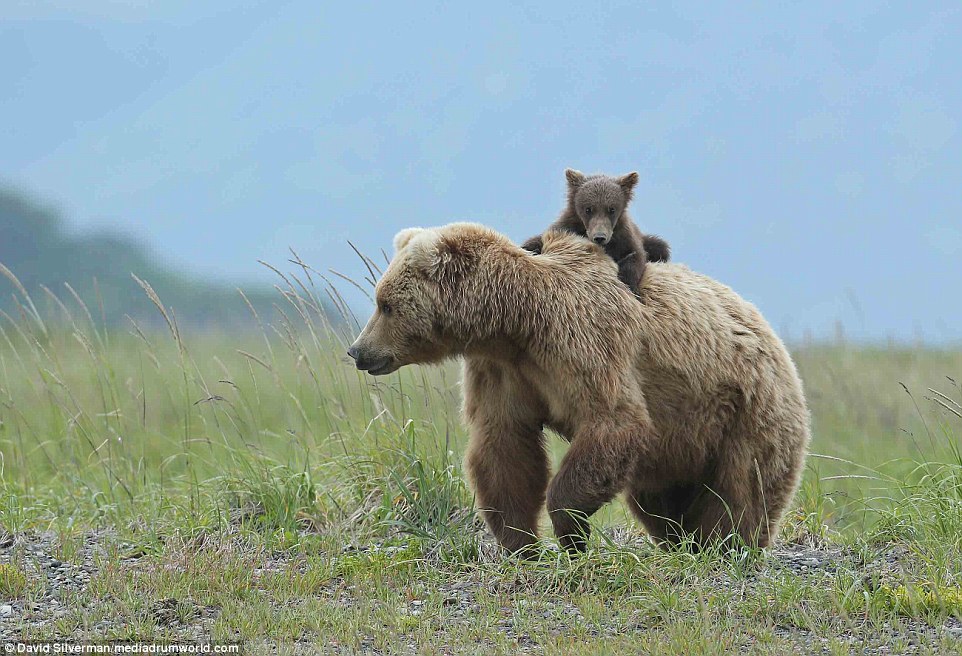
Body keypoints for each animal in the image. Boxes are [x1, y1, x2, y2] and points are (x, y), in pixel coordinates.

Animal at [348, 222, 808, 552]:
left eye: (385, 304)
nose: (358, 350)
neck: (516, 325)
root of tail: (772, 335)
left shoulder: (584, 340)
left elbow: (614, 421)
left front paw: (571, 535)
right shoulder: (504, 370)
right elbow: (504, 446)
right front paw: (521, 543)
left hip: (746, 411)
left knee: (741, 491)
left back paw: (724, 545)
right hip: (679, 444)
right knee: (658, 499)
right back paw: (682, 540)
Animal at [524, 168, 668, 296]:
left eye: (611, 209)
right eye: (588, 209)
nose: (600, 237)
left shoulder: (624, 236)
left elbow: (636, 255)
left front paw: (631, 286)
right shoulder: (566, 227)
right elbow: (537, 241)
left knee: (660, 246)